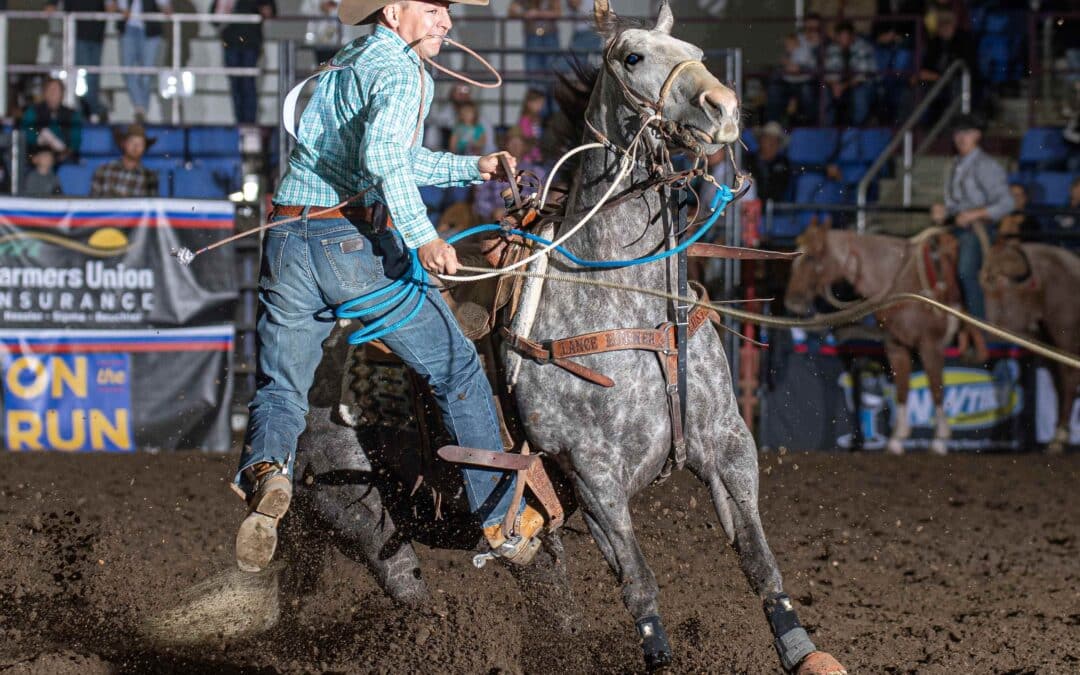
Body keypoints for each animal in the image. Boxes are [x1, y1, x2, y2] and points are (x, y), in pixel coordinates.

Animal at [781, 222, 959, 453]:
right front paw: (897, 439)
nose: (791, 301)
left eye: (811, 258)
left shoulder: (931, 344)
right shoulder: (895, 344)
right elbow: (902, 385)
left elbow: (936, 386)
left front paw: (940, 439)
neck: (901, 279)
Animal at [980, 239, 1080, 449]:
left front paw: (1060, 436)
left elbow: (1069, 379)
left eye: (1001, 282)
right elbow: (1059, 382)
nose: (992, 334)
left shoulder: (1067, 336)